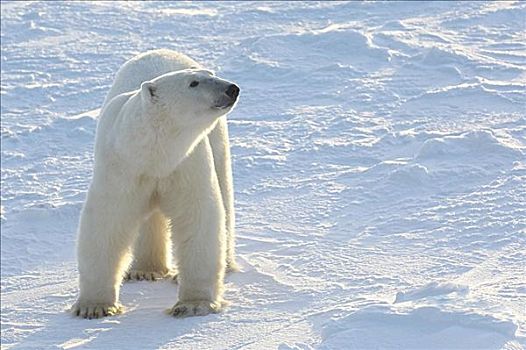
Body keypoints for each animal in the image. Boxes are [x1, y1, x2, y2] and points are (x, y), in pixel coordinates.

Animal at [71, 50, 239, 320]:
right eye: (193, 83)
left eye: (210, 74)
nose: (231, 88)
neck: (154, 153)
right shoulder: (121, 167)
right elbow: (107, 223)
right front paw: (94, 307)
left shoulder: (187, 162)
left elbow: (197, 217)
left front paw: (194, 304)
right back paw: (144, 270)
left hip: (217, 141)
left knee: (224, 193)